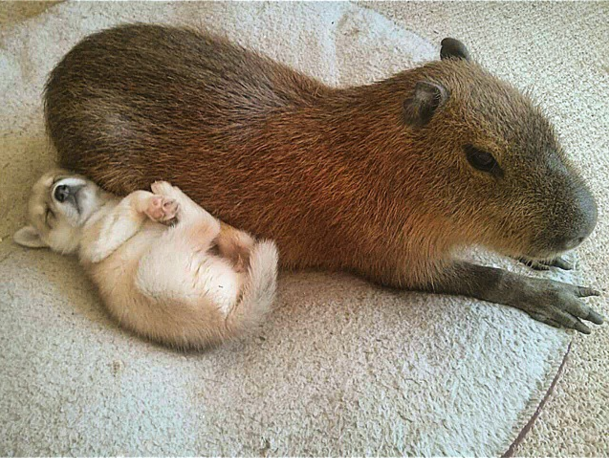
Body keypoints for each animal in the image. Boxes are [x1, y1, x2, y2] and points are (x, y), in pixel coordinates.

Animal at [15, 170, 278, 348]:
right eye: (48, 216)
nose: (60, 191)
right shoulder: (97, 245)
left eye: (55, 179)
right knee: (205, 223)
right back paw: (168, 191)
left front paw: (158, 210)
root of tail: (227, 322)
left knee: (241, 243)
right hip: (152, 275)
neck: (100, 209)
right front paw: (153, 204)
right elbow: (132, 197)